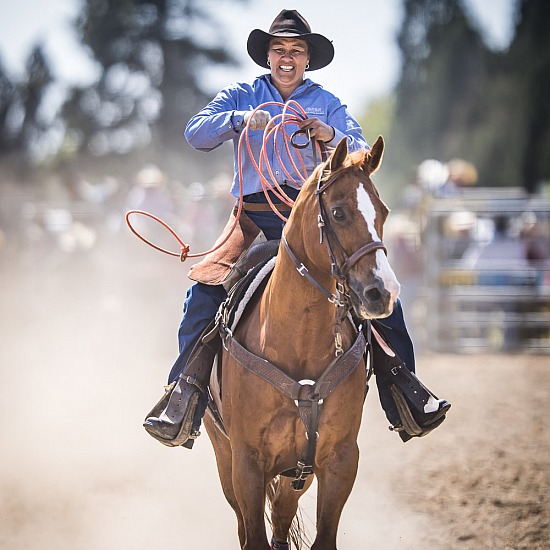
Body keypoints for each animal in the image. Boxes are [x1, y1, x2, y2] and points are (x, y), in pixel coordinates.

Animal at [205, 136, 398, 548]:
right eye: (338, 213)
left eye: (383, 212)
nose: (383, 292)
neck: (297, 341)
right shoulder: (247, 462)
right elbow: (253, 537)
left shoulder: (339, 459)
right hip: (223, 453)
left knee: (281, 514)